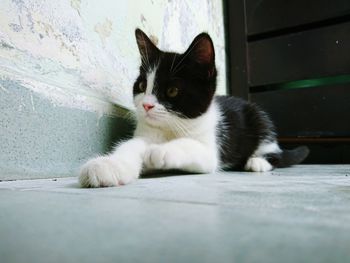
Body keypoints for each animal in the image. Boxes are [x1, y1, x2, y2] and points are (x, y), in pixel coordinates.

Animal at [78, 29, 308, 188]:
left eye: (172, 91)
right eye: (142, 86)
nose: (146, 105)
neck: (172, 127)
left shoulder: (210, 152)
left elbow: (190, 146)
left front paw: (160, 150)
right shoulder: (145, 134)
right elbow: (130, 146)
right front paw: (108, 165)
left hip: (260, 121)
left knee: (276, 153)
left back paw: (257, 162)